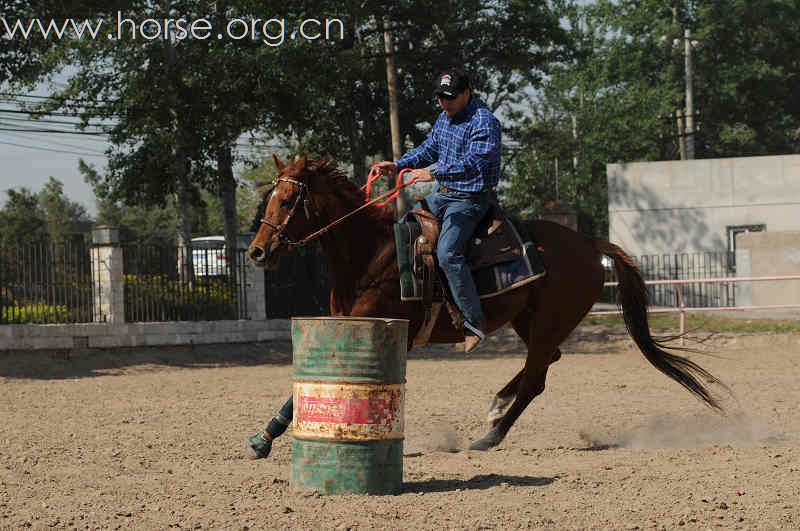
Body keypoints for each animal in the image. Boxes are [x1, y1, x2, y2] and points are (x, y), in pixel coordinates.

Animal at [247, 156, 720, 450]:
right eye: (269, 198)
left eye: (287, 201)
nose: (257, 251)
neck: (372, 254)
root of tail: (589, 244)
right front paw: (264, 437)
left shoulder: (385, 330)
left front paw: (263, 439)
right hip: (531, 321)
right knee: (545, 363)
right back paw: (496, 408)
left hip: (550, 321)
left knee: (536, 379)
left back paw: (491, 435)